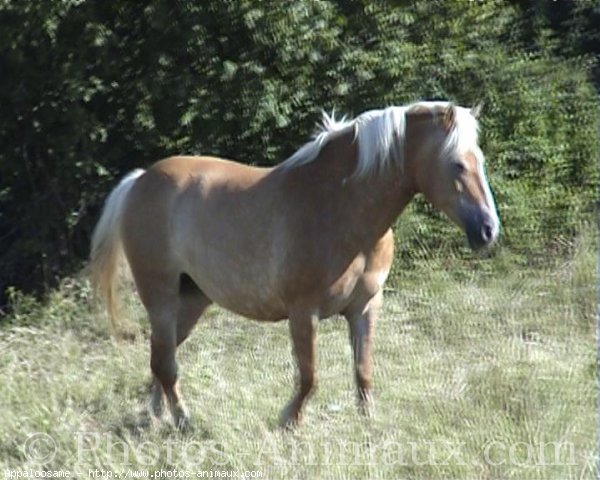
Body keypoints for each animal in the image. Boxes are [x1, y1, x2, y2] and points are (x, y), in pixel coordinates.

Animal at [88, 100, 502, 428]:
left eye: (479, 161)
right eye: (457, 165)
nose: (488, 230)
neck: (340, 208)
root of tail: (141, 179)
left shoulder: (366, 307)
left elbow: (363, 370)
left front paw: (368, 423)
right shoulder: (304, 313)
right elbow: (308, 378)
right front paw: (289, 421)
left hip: (189, 300)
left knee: (161, 358)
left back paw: (158, 415)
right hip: (159, 296)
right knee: (165, 364)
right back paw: (183, 420)